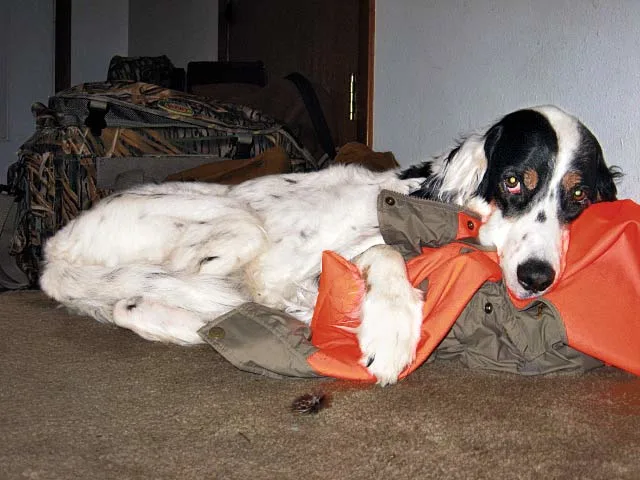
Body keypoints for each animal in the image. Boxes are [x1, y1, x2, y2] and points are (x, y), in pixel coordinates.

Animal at [40, 106, 620, 386]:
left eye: (579, 196)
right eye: (514, 182)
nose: (537, 278)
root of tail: (55, 248)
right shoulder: (306, 264)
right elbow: (385, 254)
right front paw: (391, 330)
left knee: (134, 306)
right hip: (237, 225)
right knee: (200, 281)